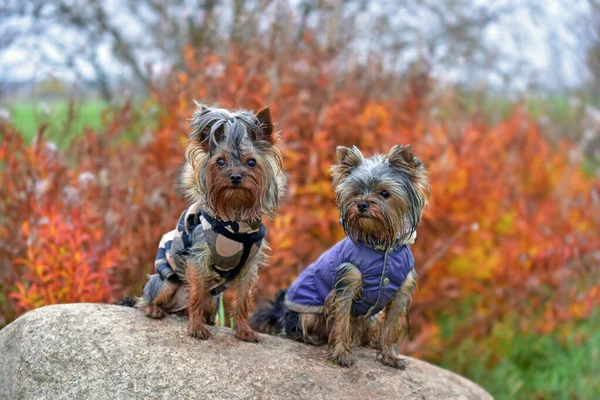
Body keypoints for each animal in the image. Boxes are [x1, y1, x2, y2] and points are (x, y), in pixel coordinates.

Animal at [251, 144, 428, 368]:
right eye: (356, 193)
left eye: (384, 193)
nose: (362, 204)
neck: (381, 246)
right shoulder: (348, 281)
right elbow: (342, 322)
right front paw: (342, 354)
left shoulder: (401, 289)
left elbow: (390, 325)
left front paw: (389, 356)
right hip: (307, 313)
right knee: (298, 328)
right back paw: (312, 338)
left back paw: (369, 341)